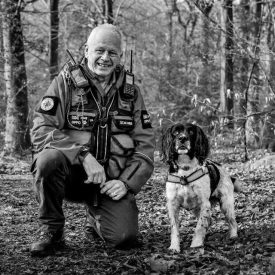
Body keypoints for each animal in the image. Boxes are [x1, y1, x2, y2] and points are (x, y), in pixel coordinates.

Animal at [161, 123, 240, 252]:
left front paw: (196, 244)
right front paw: (174, 247)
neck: (185, 170)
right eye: (176, 132)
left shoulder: (204, 203)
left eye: (191, 132)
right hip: (196, 209)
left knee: (232, 221)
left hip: (226, 203)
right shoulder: (172, 205)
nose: (182, 138)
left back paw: (233, 235)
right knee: (210, 220)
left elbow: (200, 226)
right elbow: (174, 228)